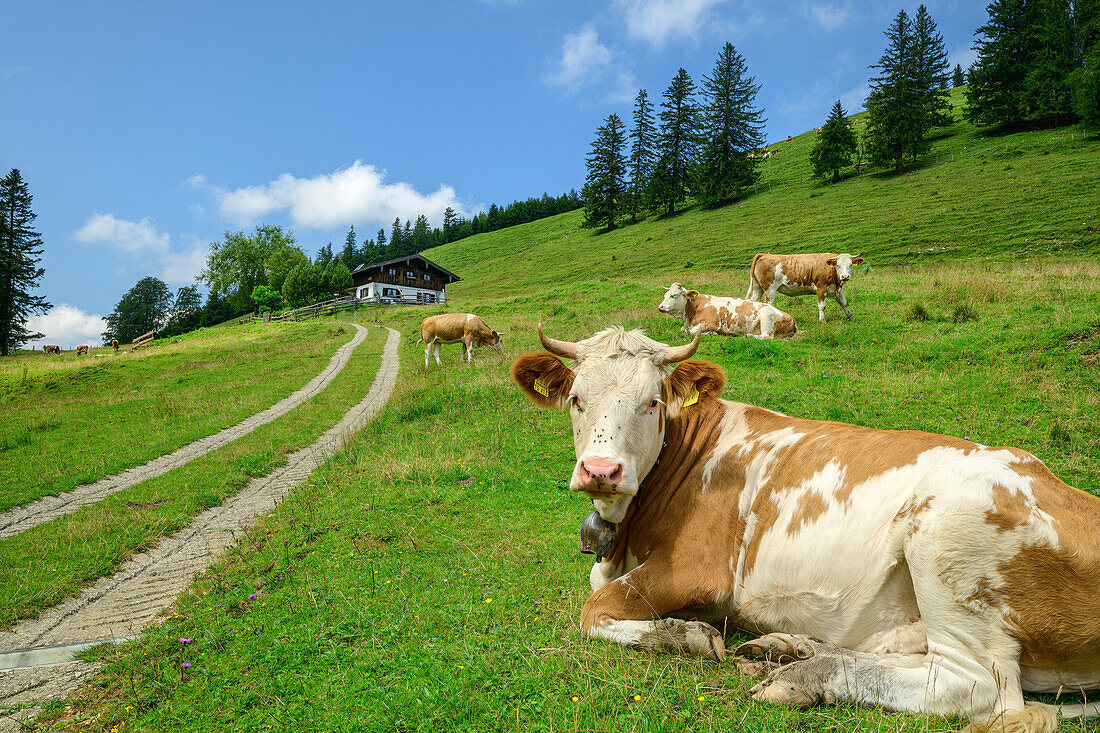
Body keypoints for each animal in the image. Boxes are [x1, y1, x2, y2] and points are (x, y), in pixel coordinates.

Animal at [510, 325, 1100, 730]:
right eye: (576, 399)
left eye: (651, 402)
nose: (601, 471)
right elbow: (597, 587)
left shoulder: (695, 571)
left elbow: (595, 611)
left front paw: (690, 635)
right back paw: (791, 649)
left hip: (947, 543)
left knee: (970, 686)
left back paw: (804, 676)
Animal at [655, 280, 796, 338]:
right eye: (665, 295)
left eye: (674, 295)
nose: (660, 307)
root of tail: (792, 319)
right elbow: (683, 330)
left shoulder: (711, 323)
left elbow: (693, 331)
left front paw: (712, 333)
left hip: (766, 318)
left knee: (767, 337)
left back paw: (748, 335)